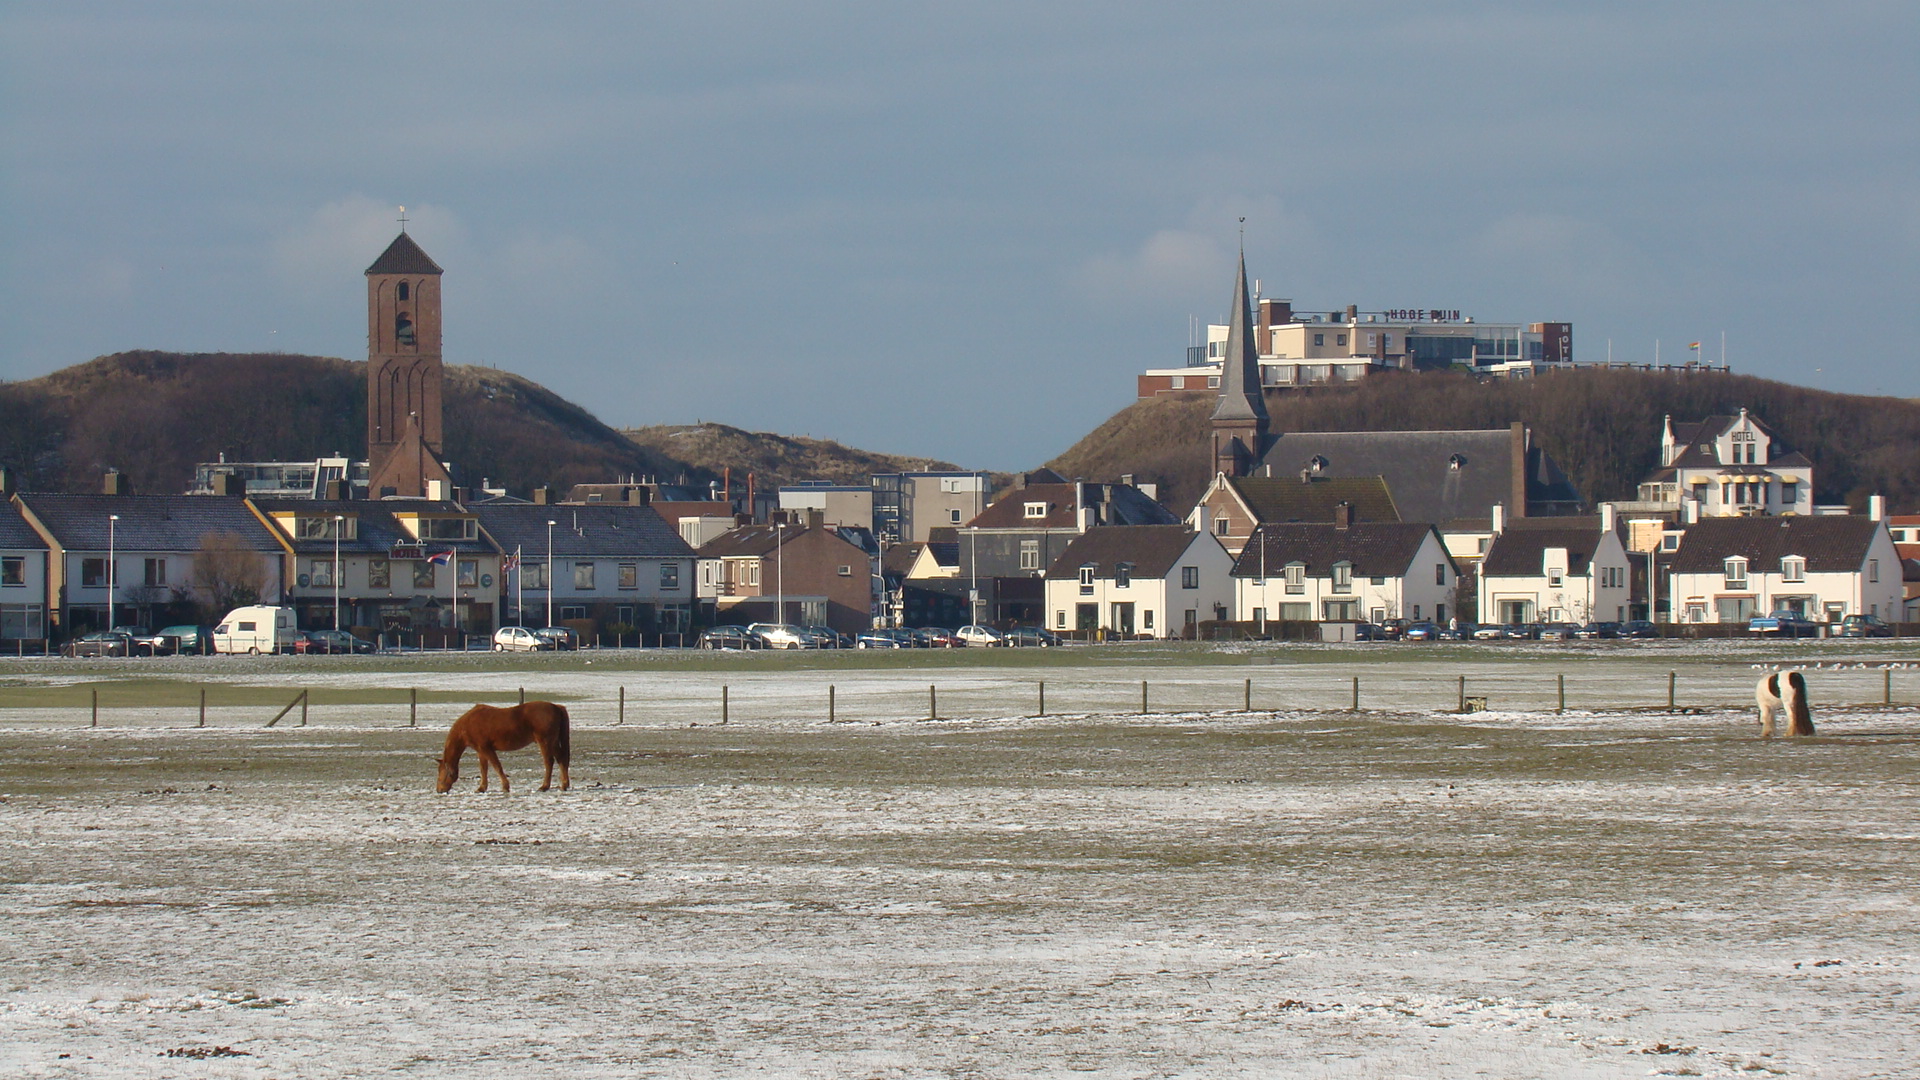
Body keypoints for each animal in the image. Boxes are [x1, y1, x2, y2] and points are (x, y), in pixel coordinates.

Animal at [439, 699, 572, 791]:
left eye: (441, 773)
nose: (439, 790)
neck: (468, 724)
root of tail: (556, 707)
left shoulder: (486, 748)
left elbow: (497, 766)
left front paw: (505, 786)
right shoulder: (480, 750)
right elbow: (483, 769)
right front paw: (482, 788)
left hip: (545, 742)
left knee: (549, 762)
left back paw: (544, 786)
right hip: (553, 743)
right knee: (561, 759)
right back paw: (564, 784)